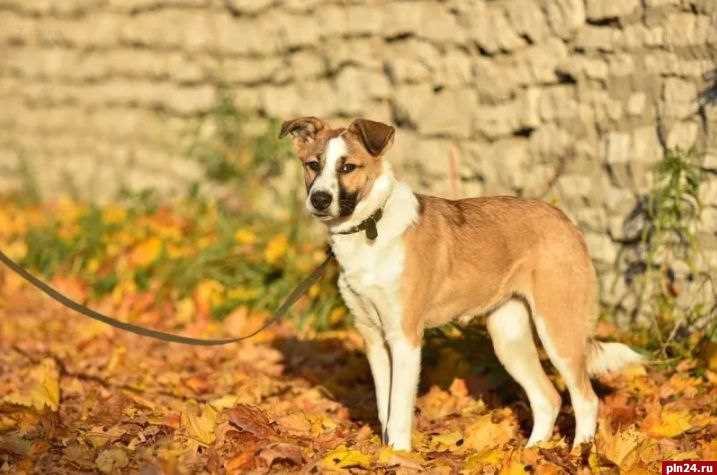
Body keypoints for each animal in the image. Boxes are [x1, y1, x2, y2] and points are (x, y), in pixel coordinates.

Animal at [276, 117, 640, 452]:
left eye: (348, 167)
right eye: (313, 165)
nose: (319, 199)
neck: (370, 227)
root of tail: (567, 223)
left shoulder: (404, 338)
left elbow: (399, 410)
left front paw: (399, 455)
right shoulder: (374, 339)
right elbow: (383, 407)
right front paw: (385, 453)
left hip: (558, 329)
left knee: (585, 398)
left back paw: (580, 451)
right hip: (508, 337)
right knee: (547, 398)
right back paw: (531, 453)